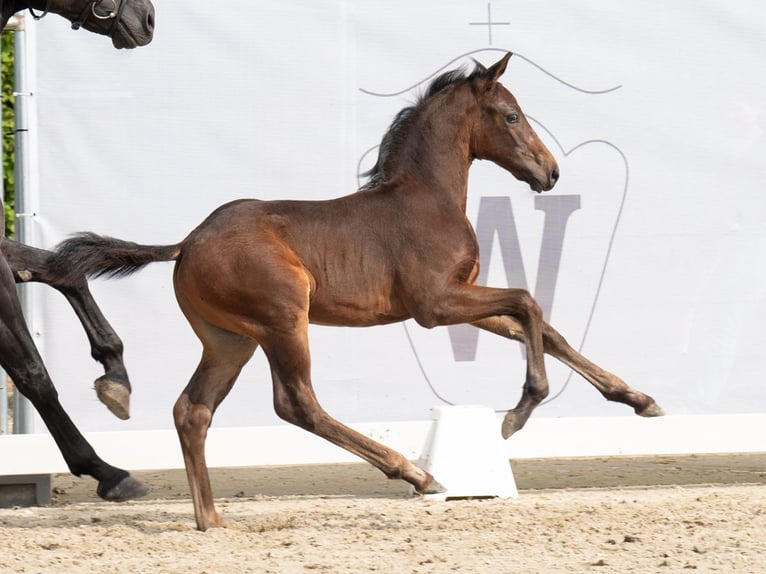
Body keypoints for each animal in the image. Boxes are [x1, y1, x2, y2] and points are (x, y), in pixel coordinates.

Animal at [54, 54, 664, 532]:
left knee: (193, 410)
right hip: (283, 322)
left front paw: (639, 400)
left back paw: (212, 519)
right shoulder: (434, 305)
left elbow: (541, 326)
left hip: (231, 341)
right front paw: (518, 413)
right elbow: (528, 301)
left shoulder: (459, 296)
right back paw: (417, 473)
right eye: (512, 115)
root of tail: (186, 244)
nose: (550, 173)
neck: (426, 197)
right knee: (296, 403)